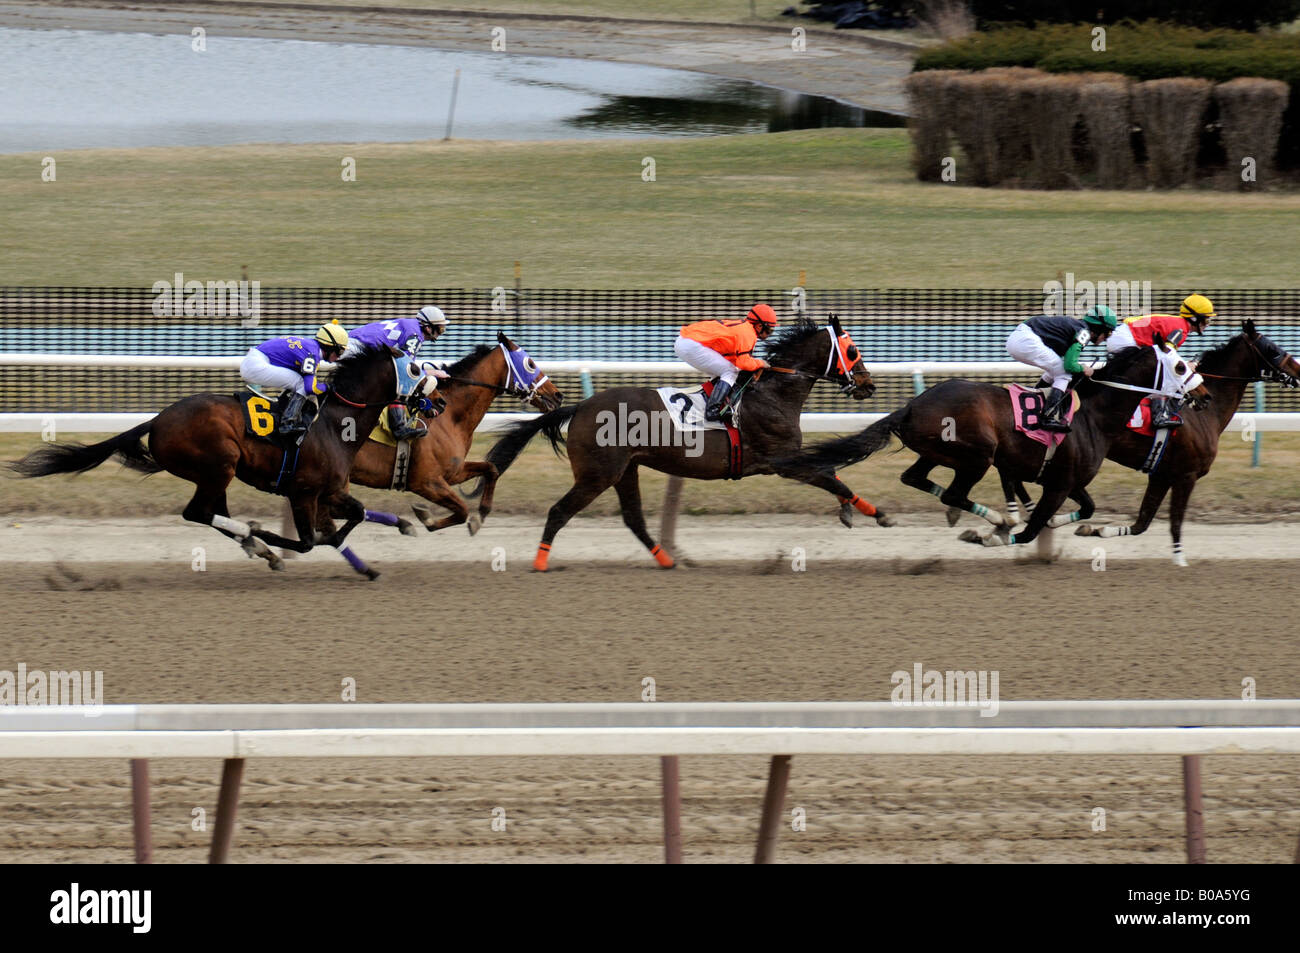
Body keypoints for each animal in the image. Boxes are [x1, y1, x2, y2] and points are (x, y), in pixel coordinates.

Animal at [8, 345, 400, 577]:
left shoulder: (329, 492)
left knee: (213, 512)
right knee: (197, 512)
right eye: (410, 368)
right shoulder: (303, 492)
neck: (335, 424)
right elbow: (308, 540)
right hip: (219, 464)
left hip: (215, 473)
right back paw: (254, 537)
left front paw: (374, 560)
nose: (420, 407)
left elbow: (355, 514)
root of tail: (157, 421)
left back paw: (257, 545)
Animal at [351, 330, 564, 530]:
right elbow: (462, 510)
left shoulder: (453, 472)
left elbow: (491, 469)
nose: (558, 395)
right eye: (530, 363)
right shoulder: (426, 482)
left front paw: (482, 512)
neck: (450, 417)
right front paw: (427, 518)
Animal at [486, 315, 883, 569]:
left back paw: (668, 561)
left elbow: (830, 472)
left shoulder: (788, 459)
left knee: (633, 519)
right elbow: (830, 475)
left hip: (624, 470)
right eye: (852, 351)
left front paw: (850, 511)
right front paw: (875, 513)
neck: (774, 392)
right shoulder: (782, 461)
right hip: (597, 475)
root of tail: (581, 406)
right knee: (559, 511)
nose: (869, 385)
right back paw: (540, 562)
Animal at [780, 343, 1206, 551]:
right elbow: (1032, 529)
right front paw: (996, 534)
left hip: (938, 453)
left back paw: (984, 518)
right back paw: (995, 521)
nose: (1202, 394)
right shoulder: (1057, 484)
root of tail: (911, 406)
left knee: (914, 478)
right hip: (977, 455)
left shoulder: (1066, 480)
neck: (1094, 415)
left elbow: (1085, 507)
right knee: (953, 492)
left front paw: (1060, 525)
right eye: (1180, 366)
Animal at [1003, 319, 1300, 561]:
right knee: (1017, 475)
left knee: (1017, 475)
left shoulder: (1161, 474)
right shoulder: (1186, 475)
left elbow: (1141, 523)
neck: (1205, 413)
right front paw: (1180, 560)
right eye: (1274, 349)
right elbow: (1174, 522)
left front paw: (1095, 530)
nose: (1298, 372)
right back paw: (1018, 513)